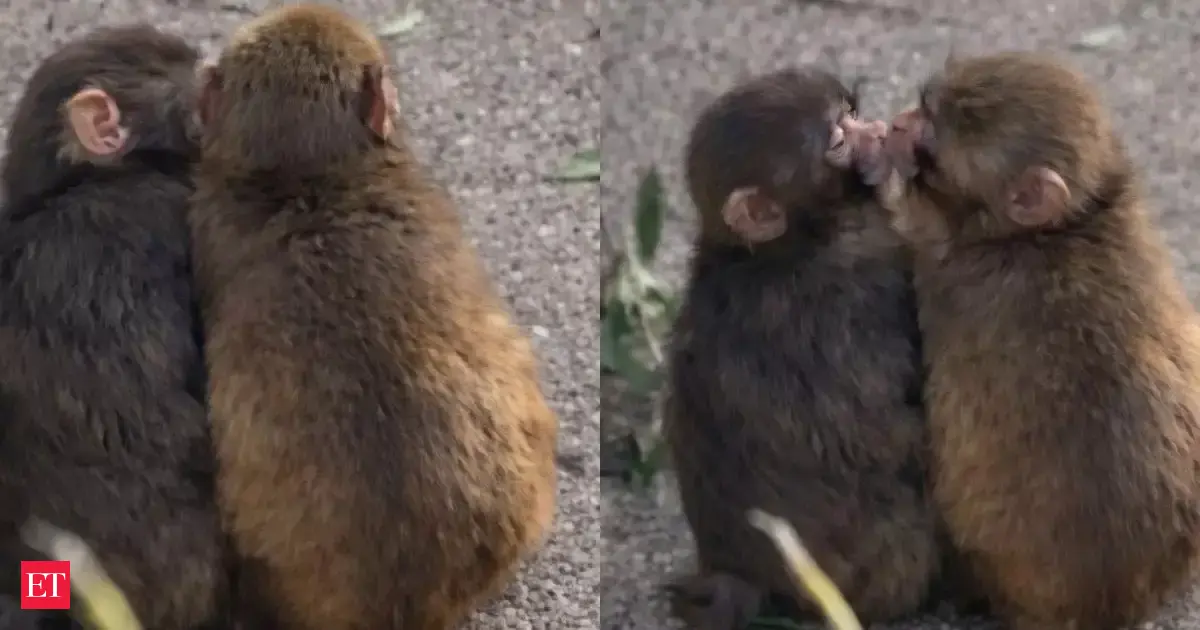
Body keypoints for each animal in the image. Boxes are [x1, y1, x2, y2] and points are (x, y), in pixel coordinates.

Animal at [661, 66, 940, 630]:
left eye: (851, 113)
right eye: (837, 140)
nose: (879, 132)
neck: (779, 248)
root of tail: (738, 573)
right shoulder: (853, 290)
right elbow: (886, 427)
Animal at [878, 50, 1200, 630]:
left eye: (928, 140)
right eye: (922, 108)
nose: (897, 125)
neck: (1059, 229)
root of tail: (1110, 604)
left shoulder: (938, 265)